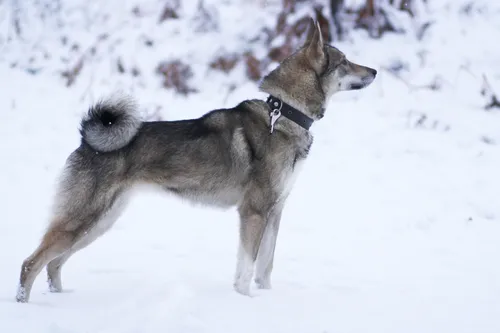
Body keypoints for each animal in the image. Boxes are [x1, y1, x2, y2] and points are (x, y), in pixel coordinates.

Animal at [14, 19, 376, 302]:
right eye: (345, 62)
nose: (374, 70)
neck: (285, 113)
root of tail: (86, 141)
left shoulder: (275, 211)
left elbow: (265, 268)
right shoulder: (254, 212)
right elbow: (247, 268)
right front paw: (245, 301)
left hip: (100, 221)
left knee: (53, 264)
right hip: (83, 219)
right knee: (32, 263)